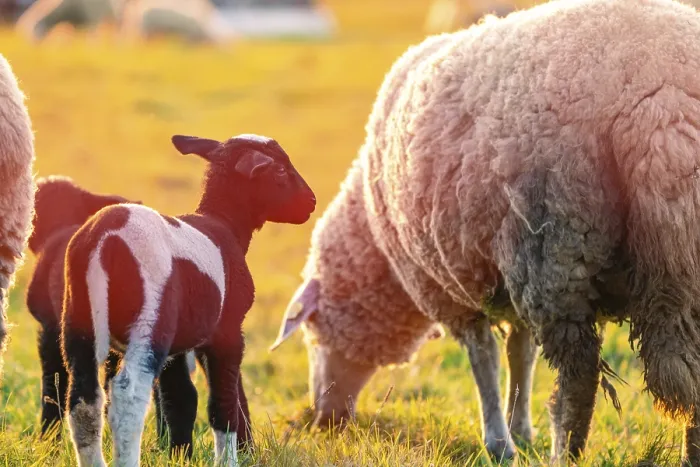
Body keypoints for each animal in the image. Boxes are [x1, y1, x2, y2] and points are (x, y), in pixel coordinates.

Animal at [61, 132, 316, 466]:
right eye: (281, 171)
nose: (311, 202)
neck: (226, 223)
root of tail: (106, 239)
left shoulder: (179, 345)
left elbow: (181, 399)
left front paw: (180, 455)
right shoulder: (228, 331)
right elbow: (223, 402)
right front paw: (227, 459)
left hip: (79, 321)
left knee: (83, 400)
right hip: (149, 321)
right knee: (128, 395)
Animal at [272, 0, 700, 464]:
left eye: (311, 337)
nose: (323, 420)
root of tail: (665, 95)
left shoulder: (451, 285)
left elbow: (485, 358)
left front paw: (499, 441)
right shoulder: (504, 278)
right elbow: (521, 354)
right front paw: (520, 429)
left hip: (558, 247)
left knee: (578, 377)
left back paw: (563, 452)